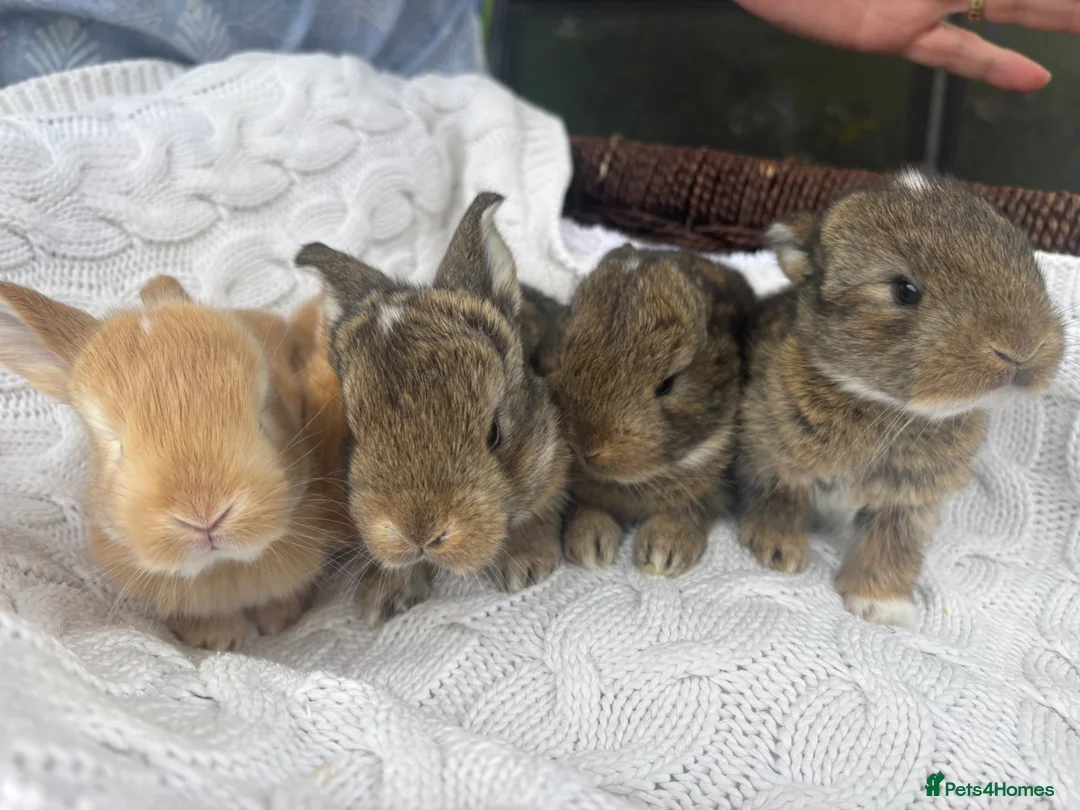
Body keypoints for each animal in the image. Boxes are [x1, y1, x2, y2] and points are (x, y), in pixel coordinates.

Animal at [0, 276, 351, 650]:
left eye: (263, 417)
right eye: (116, 445)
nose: (205, 517)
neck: (222, 567)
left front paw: (279, 621)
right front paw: (217, 640)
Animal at [296, 192, 571, 620]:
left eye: (495, 434)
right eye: (353, 435)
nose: (418, 532)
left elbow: (539, 510)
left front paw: (525, 567)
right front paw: (380, 598)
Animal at [741, 168, 1064, 626]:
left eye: (1028, 264)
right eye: (904, 291)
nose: (1022, 348)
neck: (885, 405)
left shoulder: (909, 502)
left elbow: (891, 546)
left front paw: (882, 607)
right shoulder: (772, 454)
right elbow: (780, 497)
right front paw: (779, 551)